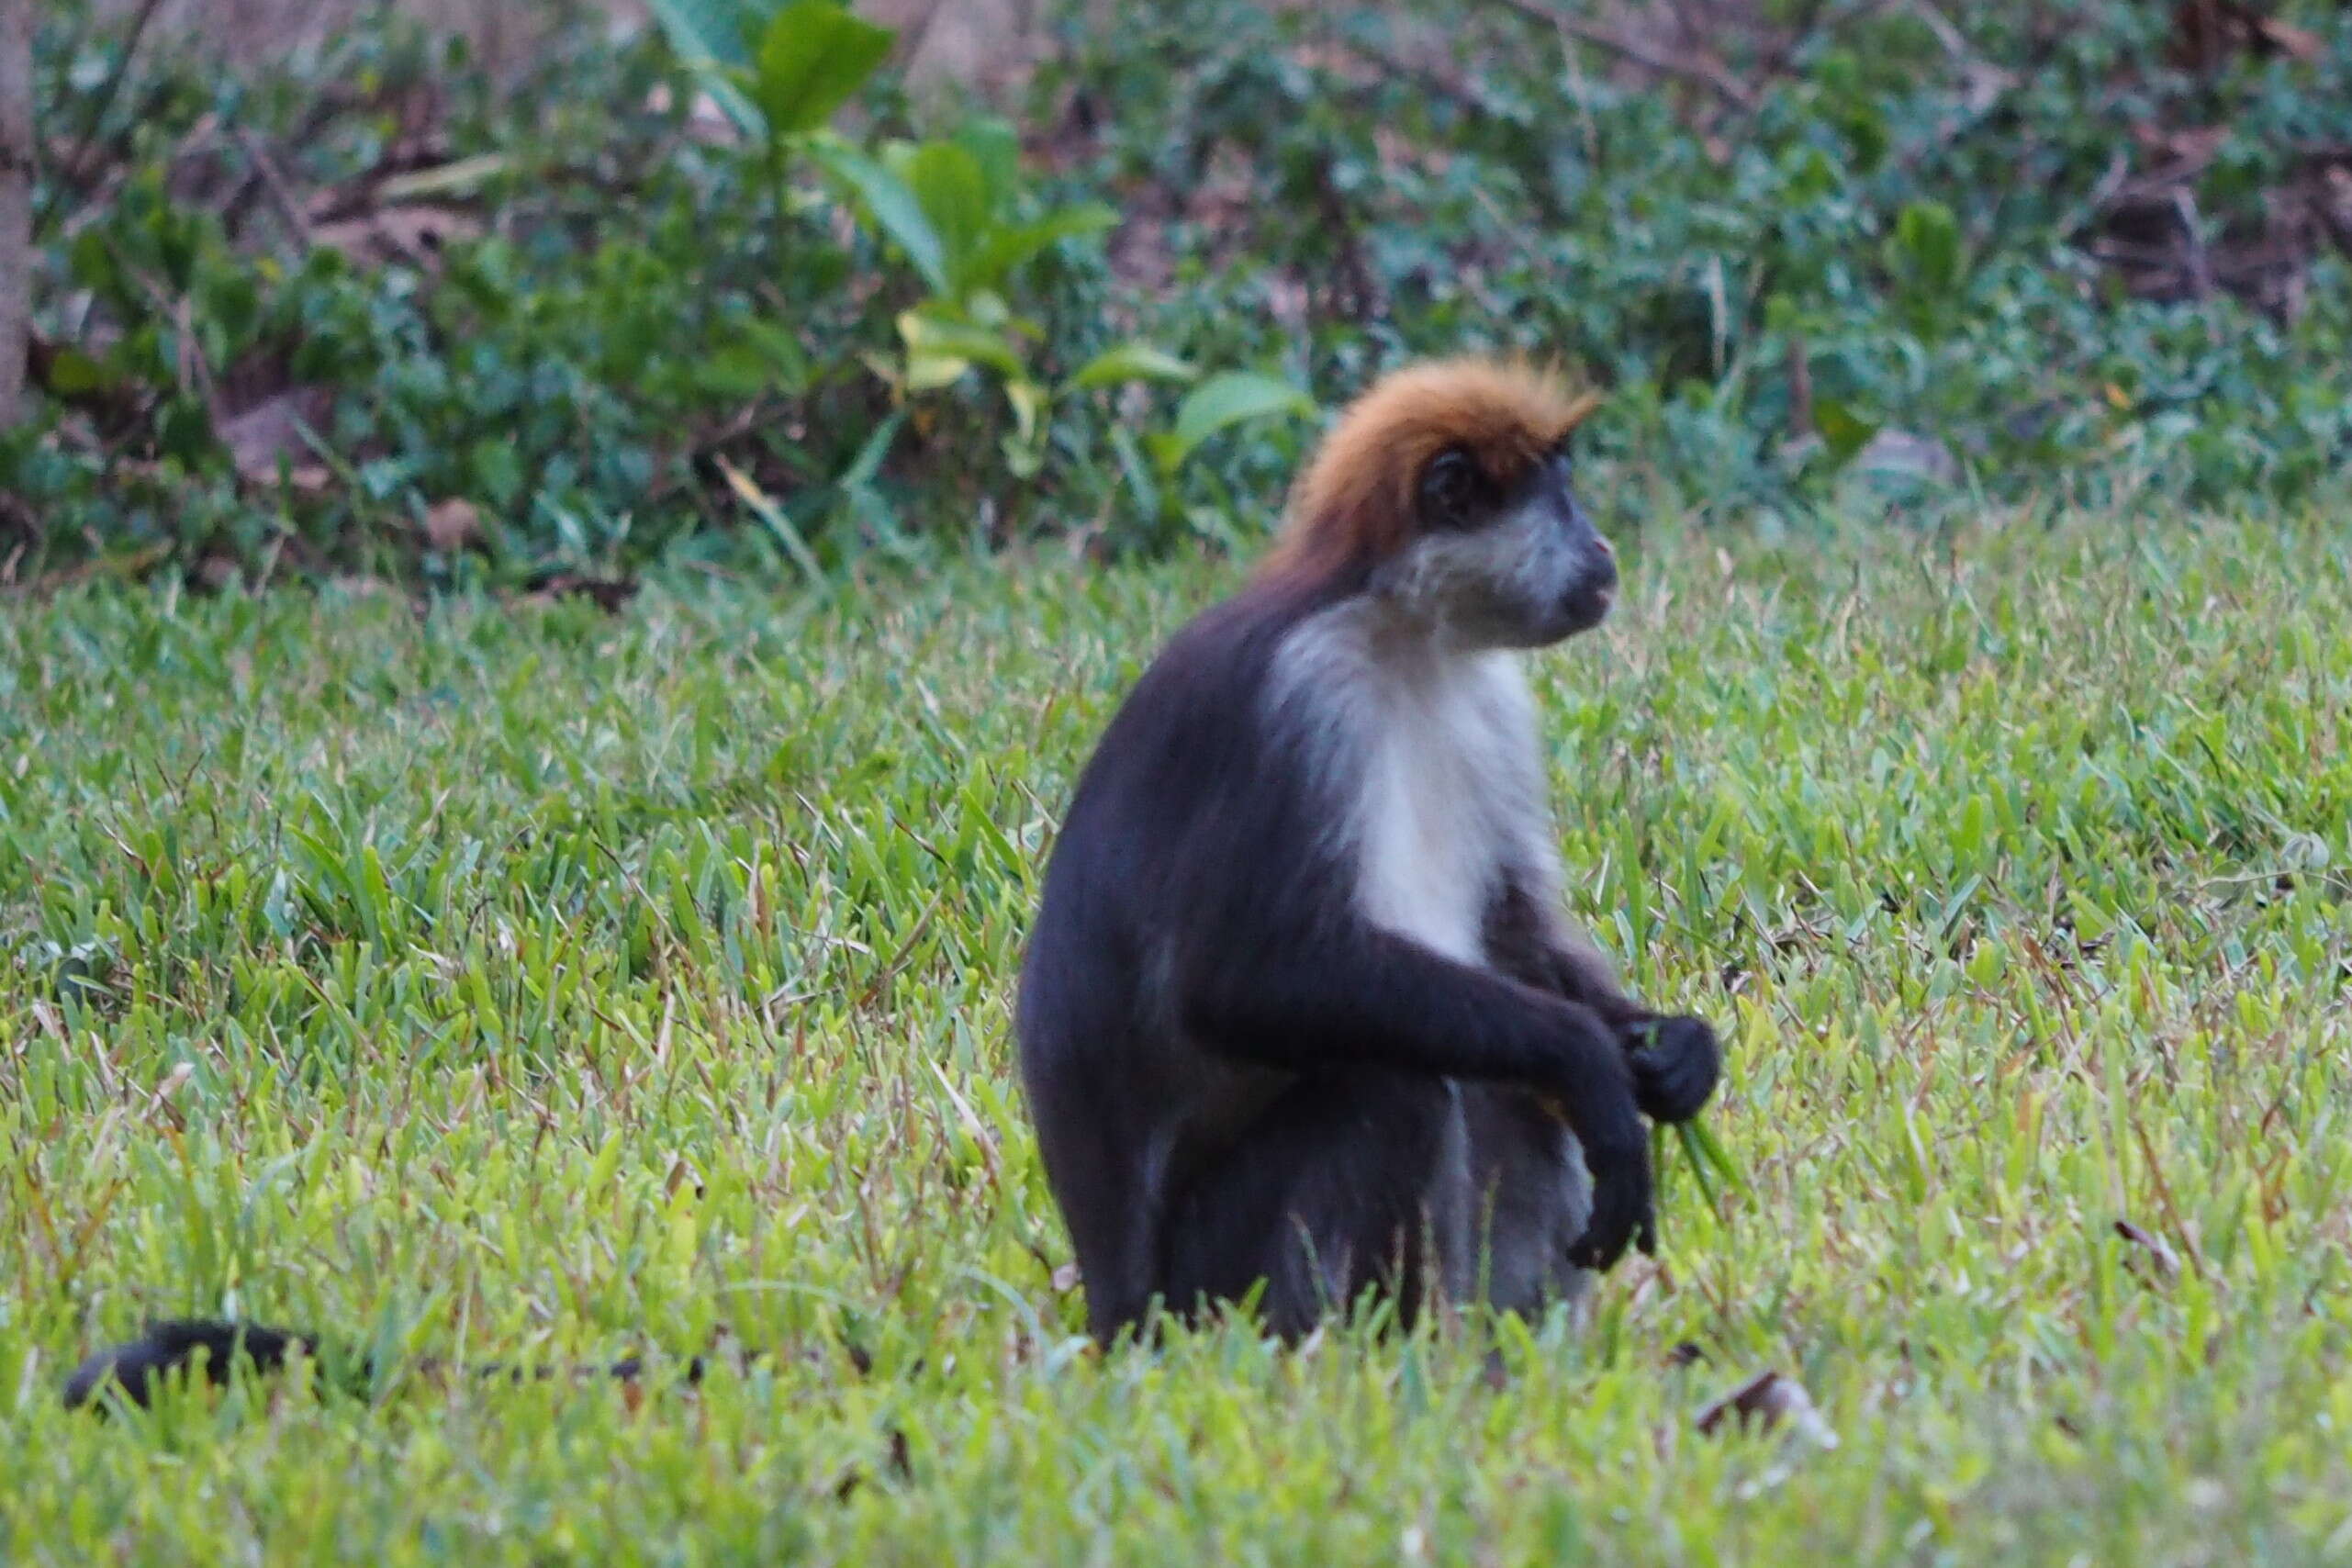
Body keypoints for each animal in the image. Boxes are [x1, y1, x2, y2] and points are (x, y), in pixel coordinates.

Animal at [1020, 354, 1721, 1353]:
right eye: (1559, 496)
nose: (1602, 550)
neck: (1402, 638)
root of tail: (1118, 1307)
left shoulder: (1488, 699)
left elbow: (1511, 931)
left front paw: (1672, 1050)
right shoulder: (1302, 694)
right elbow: (1237, 981)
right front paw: (1590, 1056)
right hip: (1212, 1282)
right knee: (1393, 1084)